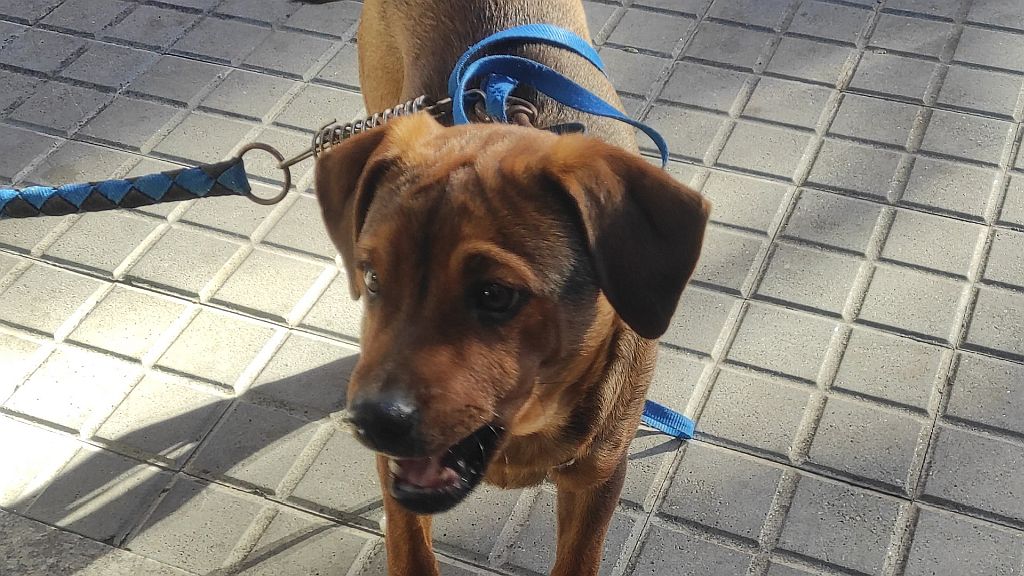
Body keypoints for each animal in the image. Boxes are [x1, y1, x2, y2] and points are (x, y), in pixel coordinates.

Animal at [314, 2, 710, 574]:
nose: (370, 422)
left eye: (496, 295)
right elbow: (411, 550)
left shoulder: (600, 476)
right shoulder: (400, 490)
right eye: (371, 279)